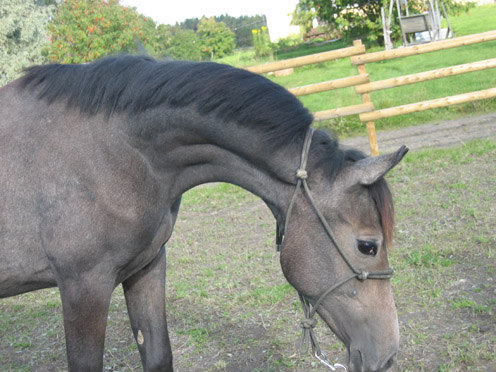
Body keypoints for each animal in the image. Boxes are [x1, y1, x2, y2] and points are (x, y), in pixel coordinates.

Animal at [0, 56, 406, 372]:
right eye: (367, 246)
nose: (388, 356)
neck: (116, 153)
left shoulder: (146, 268)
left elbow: (158, 356)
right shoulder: (83, 286)